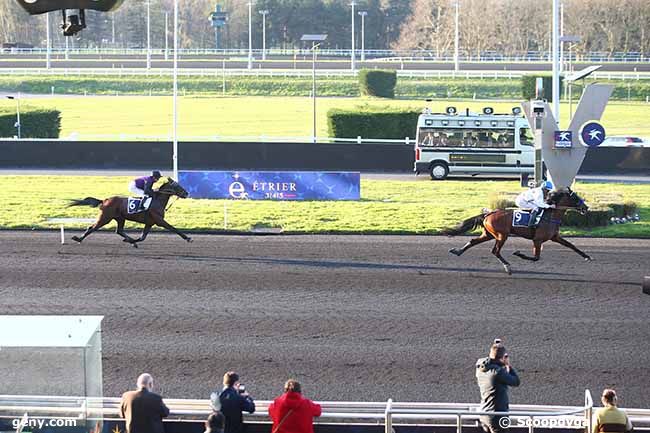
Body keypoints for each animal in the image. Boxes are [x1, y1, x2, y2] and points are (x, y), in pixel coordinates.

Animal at [442, 189, 588, 274]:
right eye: (575, 198)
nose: (586, 208)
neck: (550, 216)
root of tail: (488, 214)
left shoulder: (554, 237)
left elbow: (571, 245)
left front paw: (587, 256)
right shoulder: (537, 239)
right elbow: (536, 257)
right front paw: (518, 253)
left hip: (489, 234)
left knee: (473, 241)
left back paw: (457, 251)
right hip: (502, 235)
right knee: (495, 251)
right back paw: (508, 267)